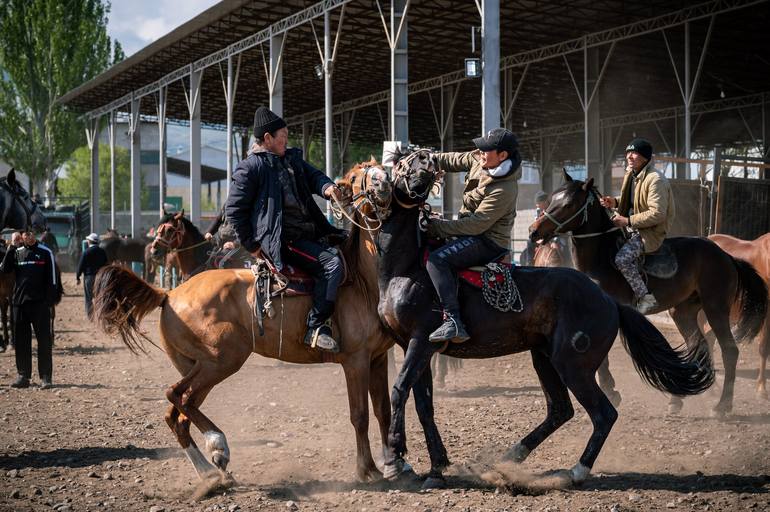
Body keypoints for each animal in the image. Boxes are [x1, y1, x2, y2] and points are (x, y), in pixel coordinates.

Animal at [91, 162, 396, 494]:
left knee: (179, 413)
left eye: (380, 168)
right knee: (176, 396)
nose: (384, 183)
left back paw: (211, 472)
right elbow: (360, 415)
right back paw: (218, 446)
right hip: (221, 360)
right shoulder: (355, 361)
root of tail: (168, 295)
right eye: (356, 177)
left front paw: (395, 465)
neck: (360, 279)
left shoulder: (377, 359)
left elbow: (384, 411)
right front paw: (368, 469)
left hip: (200, 367)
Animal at [356, 152, 712, 488]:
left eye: (421, 171)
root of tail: (607, 299)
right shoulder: (416, 347)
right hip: (544, 358)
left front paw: (394, 458)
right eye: (403, 164)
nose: (420, 168)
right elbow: (423, 405)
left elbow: (399, 391)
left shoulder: (420, 342)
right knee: (561, 409)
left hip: (573, 365)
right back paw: (512, 455)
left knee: (603, 413)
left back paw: (576, 471)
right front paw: (436, 467)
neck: (409, 268)